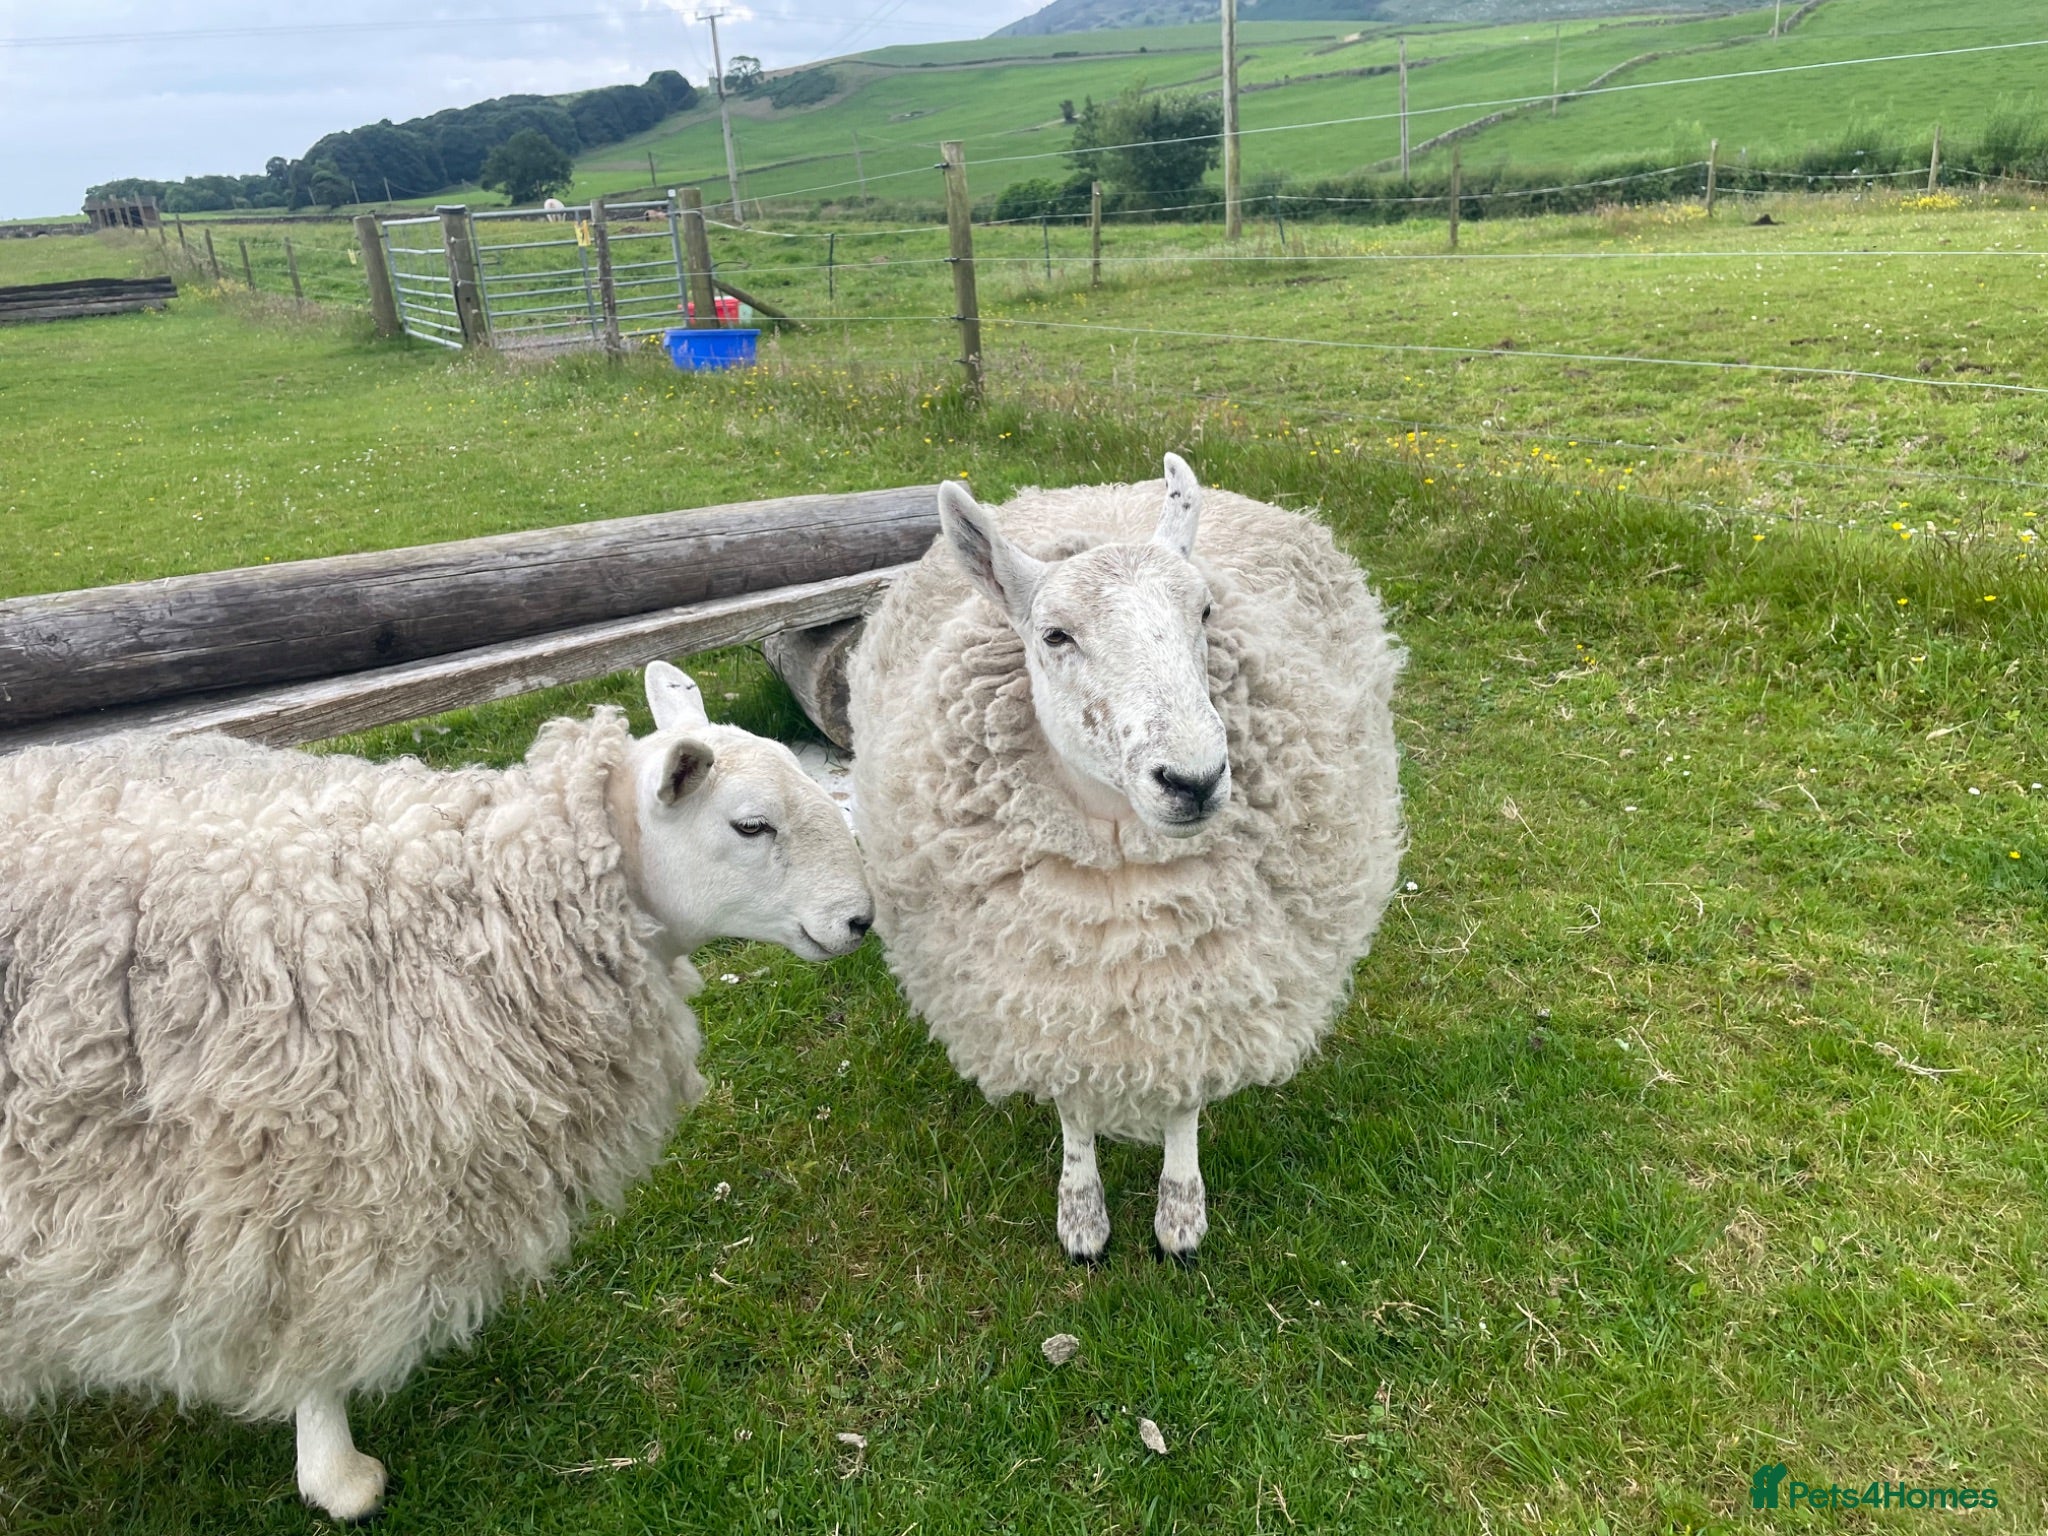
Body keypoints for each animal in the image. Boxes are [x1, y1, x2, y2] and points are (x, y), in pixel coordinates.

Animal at [0, 661, 872, 1521]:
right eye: (751, 826)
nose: (861, 920)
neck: (485, 909)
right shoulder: (312, 1180)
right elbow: (318, 1329)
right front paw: (338, 1473)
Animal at [847, 454, 1403, 1262]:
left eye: (1204, 613)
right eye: (1055, 635)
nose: (1195, 779)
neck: (1120, 867)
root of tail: (1106, 491)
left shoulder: (1202, 981)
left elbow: (1184, 1097)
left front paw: (1180, 1214)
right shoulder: (1055, 990)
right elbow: (1074, 1107)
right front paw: (1082, 1215)